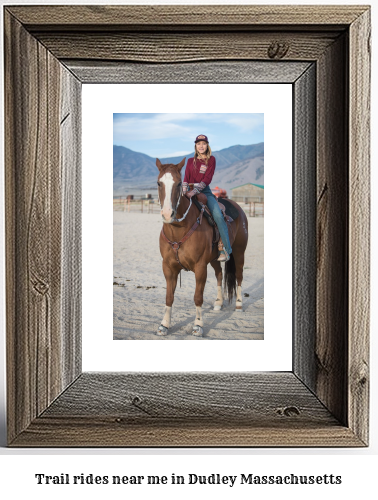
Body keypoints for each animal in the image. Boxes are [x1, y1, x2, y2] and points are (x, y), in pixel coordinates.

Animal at [156, 156, 248, 336]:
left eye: (179, 183)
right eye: (159, 183)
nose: (167, 214)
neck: (178, 230)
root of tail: (239, 208)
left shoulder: (200, 267)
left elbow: (198, 297)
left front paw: (198, 325)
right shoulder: (168, 267)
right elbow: (169, 296)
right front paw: (164, 325)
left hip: (239, 252)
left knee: (239, 276)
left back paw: (239, 304)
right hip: (213, 259)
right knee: (219, 274)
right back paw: (218, 303)